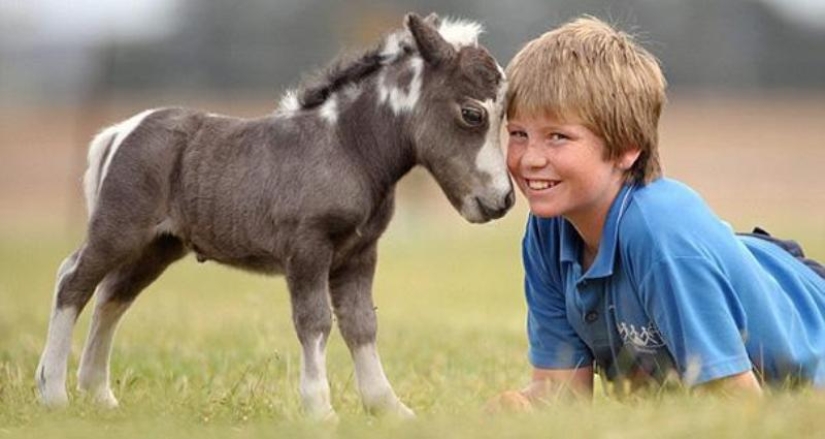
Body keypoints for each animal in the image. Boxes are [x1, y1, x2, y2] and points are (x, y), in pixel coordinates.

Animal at [40, 12, 516, 420]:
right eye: (472, 113)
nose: (502, 200)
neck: (347, 148)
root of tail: (121, 131)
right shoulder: (308, 248)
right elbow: (316, 321)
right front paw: (320, 409)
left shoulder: (359, 253)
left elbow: (362, 323)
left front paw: (388, 408)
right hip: (119, 230)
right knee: (73, 281)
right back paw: (54, 393)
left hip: (159, 247)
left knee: (113, 296)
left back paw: (100, 395)